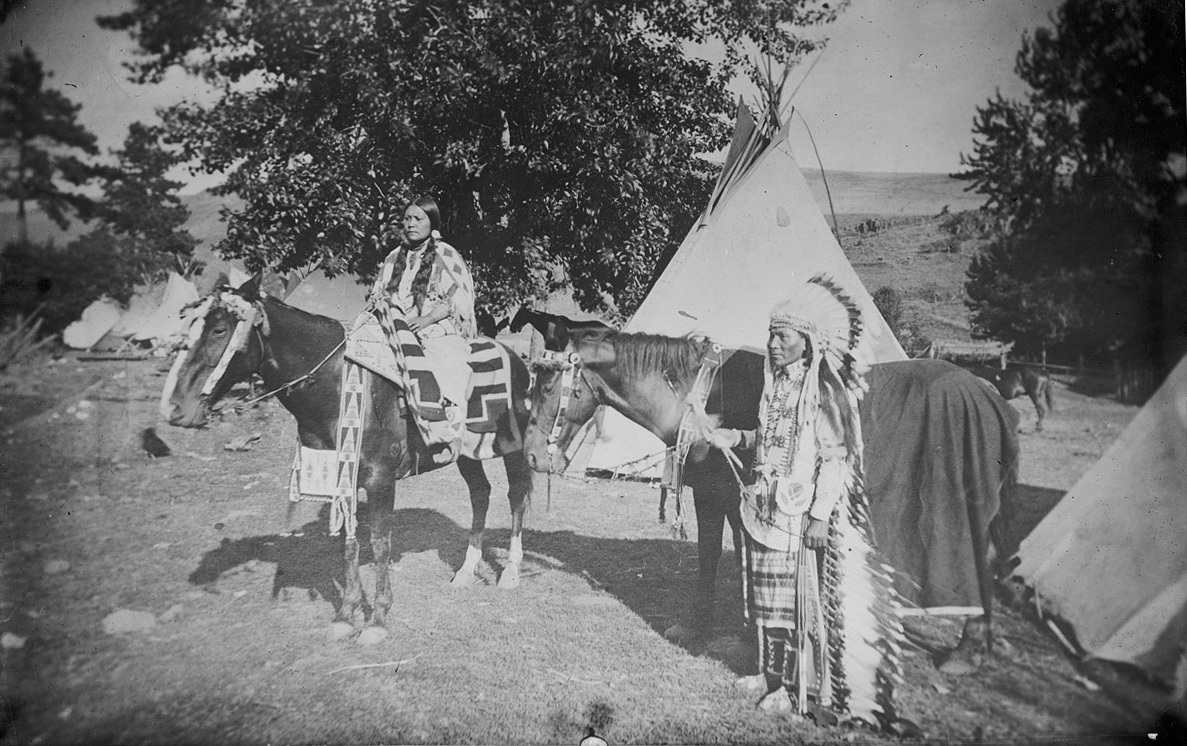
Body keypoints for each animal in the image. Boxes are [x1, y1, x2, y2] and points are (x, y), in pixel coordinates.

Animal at [164, 276, 536, 646]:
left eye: (219, 329)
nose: (175, 409)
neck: (334, 382)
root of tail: (515, 358)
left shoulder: (379, 479)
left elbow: (380, 543)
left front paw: (377, 619)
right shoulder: (341, 477)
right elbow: (348, 543)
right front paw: (346, 614)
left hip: (511, 445)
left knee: (516, 495)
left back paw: (511, 572)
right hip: (466, 453)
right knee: (480, 493)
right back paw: (466, 571)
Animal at [529, 330, 1020, 665]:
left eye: (549, 388)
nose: (532, 456)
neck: (702, 398)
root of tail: (988, 393)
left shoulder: (720, 500)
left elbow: (713, 557)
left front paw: (710, 627)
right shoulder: (738, 504)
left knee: (981, 567)